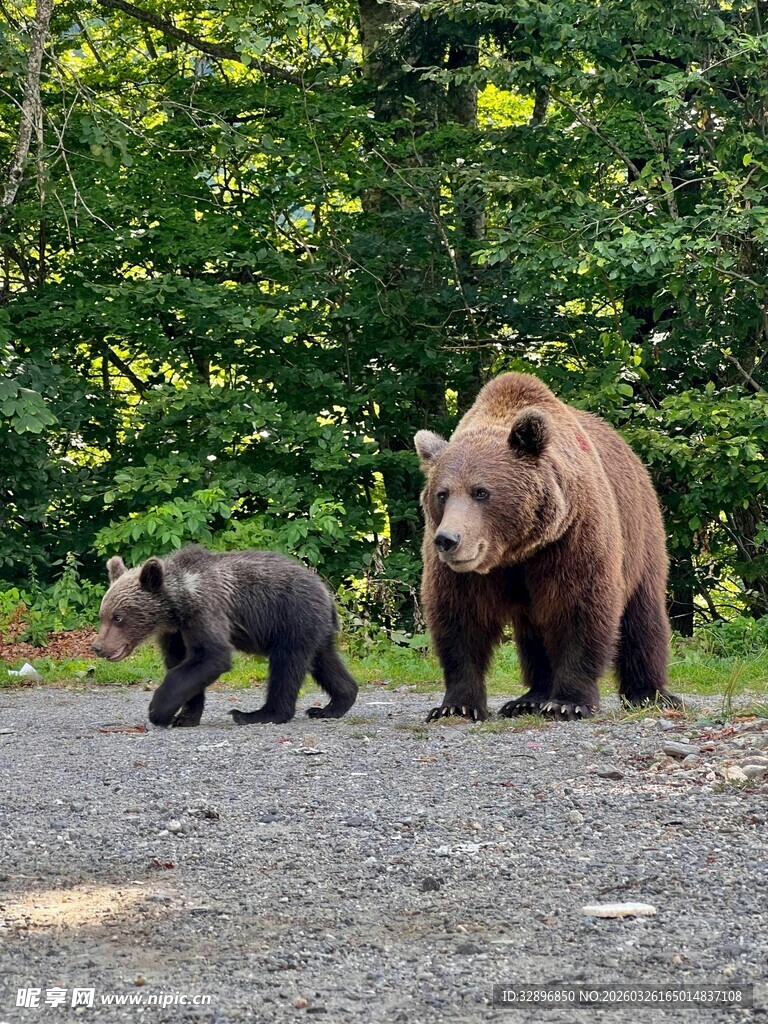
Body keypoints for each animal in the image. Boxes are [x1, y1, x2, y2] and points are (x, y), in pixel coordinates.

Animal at [91, 545, 358, 727]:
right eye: (102, 615)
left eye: (118, 617)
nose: (98, 646)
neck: (178, 605)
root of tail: (326, 592)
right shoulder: (175, 632)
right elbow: (182, 663)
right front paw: (185, 716)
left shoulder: (206, 610)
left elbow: (210, 656)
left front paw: (160, 711)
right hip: (314, 628)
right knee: (324, 660)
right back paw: (331, 706)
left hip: (292, 617)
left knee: (287, 665)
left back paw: (257, 714)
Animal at [414, 372, 681, 723]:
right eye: (442, 494)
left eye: (481, 491)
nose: (448, 540)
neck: (516, 550)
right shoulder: (466, 573)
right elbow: (460, 619)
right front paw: (456, 705)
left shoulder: (572, 539)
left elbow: (580, 609)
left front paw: (569, 702)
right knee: (535, 633)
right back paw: (529, 698)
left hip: (641, 535)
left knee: (642, 618)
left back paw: (650, 693)